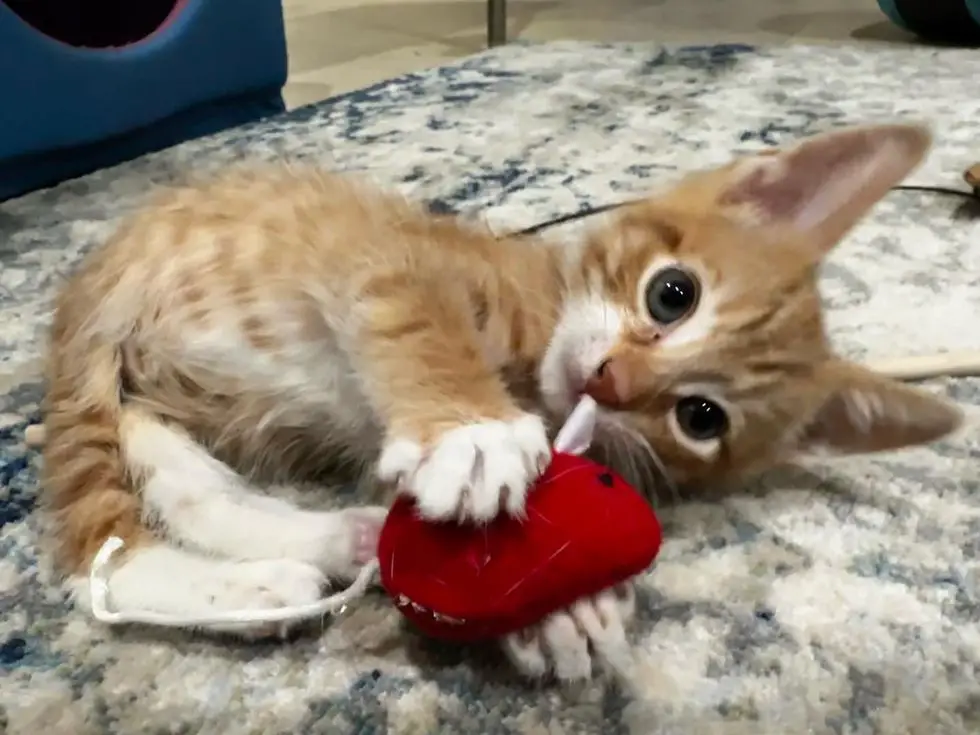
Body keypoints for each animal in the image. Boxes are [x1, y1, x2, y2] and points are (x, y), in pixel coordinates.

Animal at [42, 123, 960, 680]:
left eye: (700, 417)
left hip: (158, 409)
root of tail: (81, 290)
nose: (612, 383)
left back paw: (316, 554)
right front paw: (473, 433)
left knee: (192, 495)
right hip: (104, 382)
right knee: (107, 556)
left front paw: (559, 607)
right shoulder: (390, 260)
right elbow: (418, 319)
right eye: (673, 294)